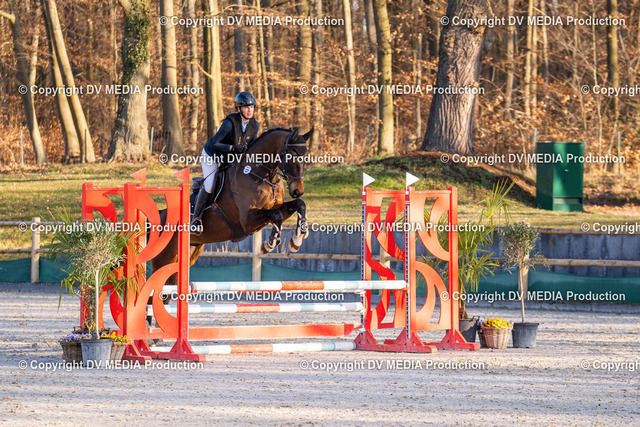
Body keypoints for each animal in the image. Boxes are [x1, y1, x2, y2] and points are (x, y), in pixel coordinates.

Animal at [152, 127, 312, 275]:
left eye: (306, 157)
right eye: (291, 155)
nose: (298, 191)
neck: (263, 177)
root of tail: (160, 215)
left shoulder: (274, 208)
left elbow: (298, 205)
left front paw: (297, 239)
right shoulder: (247, 221)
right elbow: (276, 214)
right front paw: (269, 244)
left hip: (190, 252)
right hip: (165, 259)